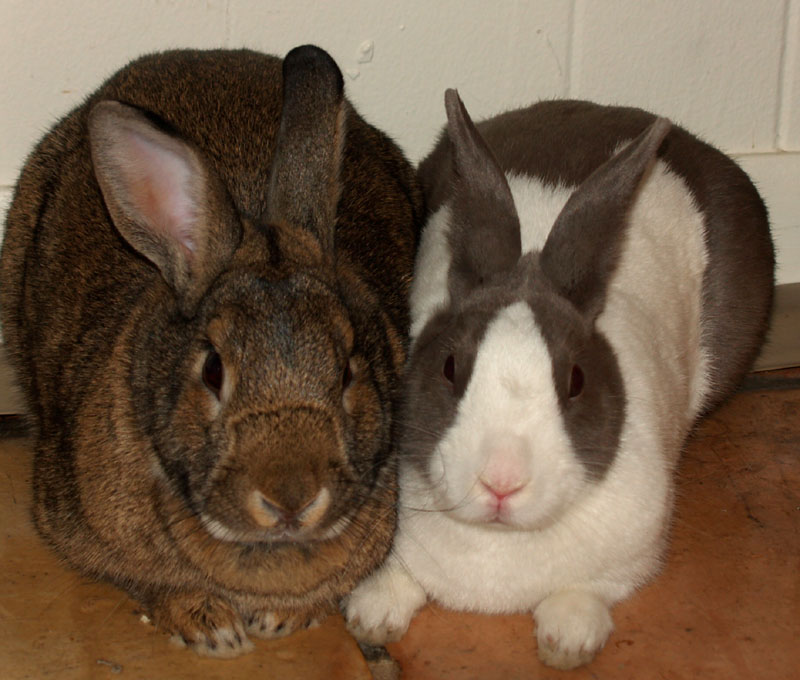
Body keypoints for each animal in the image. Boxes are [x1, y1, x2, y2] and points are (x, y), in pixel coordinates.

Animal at [346, 90, 776, 668]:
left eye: (575, 380)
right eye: (450, 367)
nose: (501, 481)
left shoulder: (633, 551)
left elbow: (588, 591)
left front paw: (568, 640)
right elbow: (398, 576)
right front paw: (371, 614)